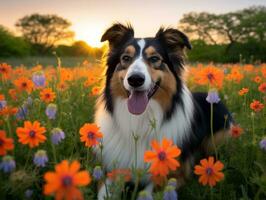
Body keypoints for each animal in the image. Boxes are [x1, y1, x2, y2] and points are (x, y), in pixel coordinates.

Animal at [95, 23, 233, 198]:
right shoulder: (112, 168)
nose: (135, 79)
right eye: (125, 58)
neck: (140, 121)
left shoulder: (175, 174)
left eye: (155, 59)